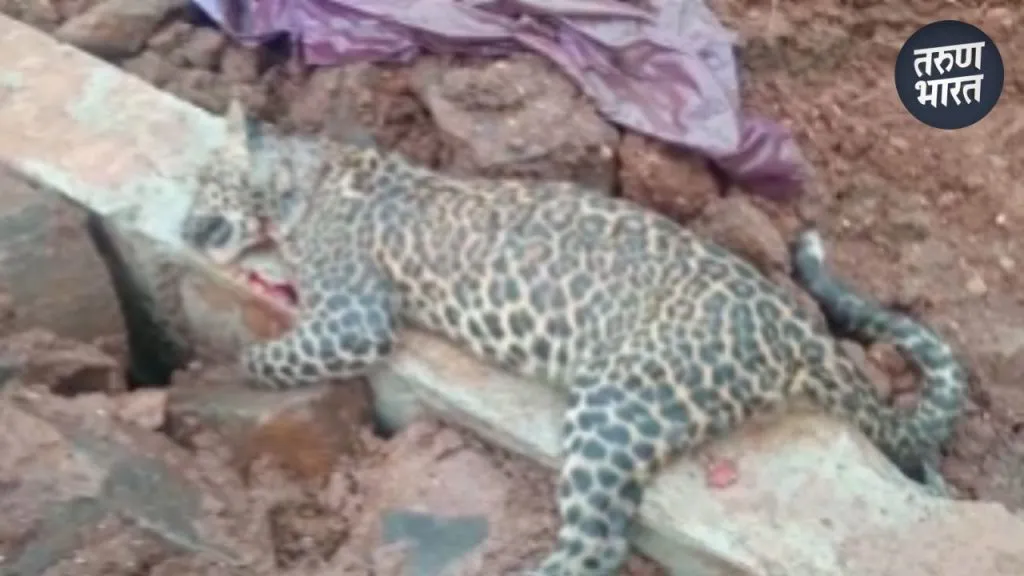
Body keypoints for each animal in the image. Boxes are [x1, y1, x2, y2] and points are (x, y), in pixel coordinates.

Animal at [181, 99, 967, 576]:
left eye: (202, 181)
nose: (185, 227)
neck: (304, 176)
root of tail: (797, 331)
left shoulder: (354, 319)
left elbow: (273, 356)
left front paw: (214, 370)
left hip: (615, 407)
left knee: (594, 546)